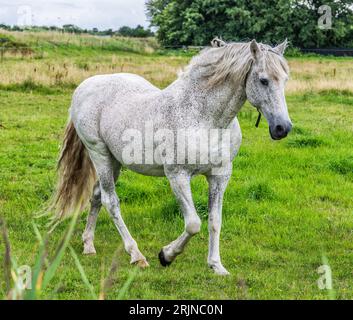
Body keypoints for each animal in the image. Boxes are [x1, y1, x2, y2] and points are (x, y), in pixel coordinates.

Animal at [51, 39, 290, 276]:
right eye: (264, 80)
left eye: (285, 79)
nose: (283, 128)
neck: (204, 117)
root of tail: (84, 87)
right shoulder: (178, 175)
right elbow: (193, 223)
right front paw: (166, 255)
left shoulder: (220, 175)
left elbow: (215, 220)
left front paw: (216, 265)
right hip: (99, 154)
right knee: (111, 201)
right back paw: (136, 255)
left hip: (114, 160)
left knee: (97, 196)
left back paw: (88, 245)